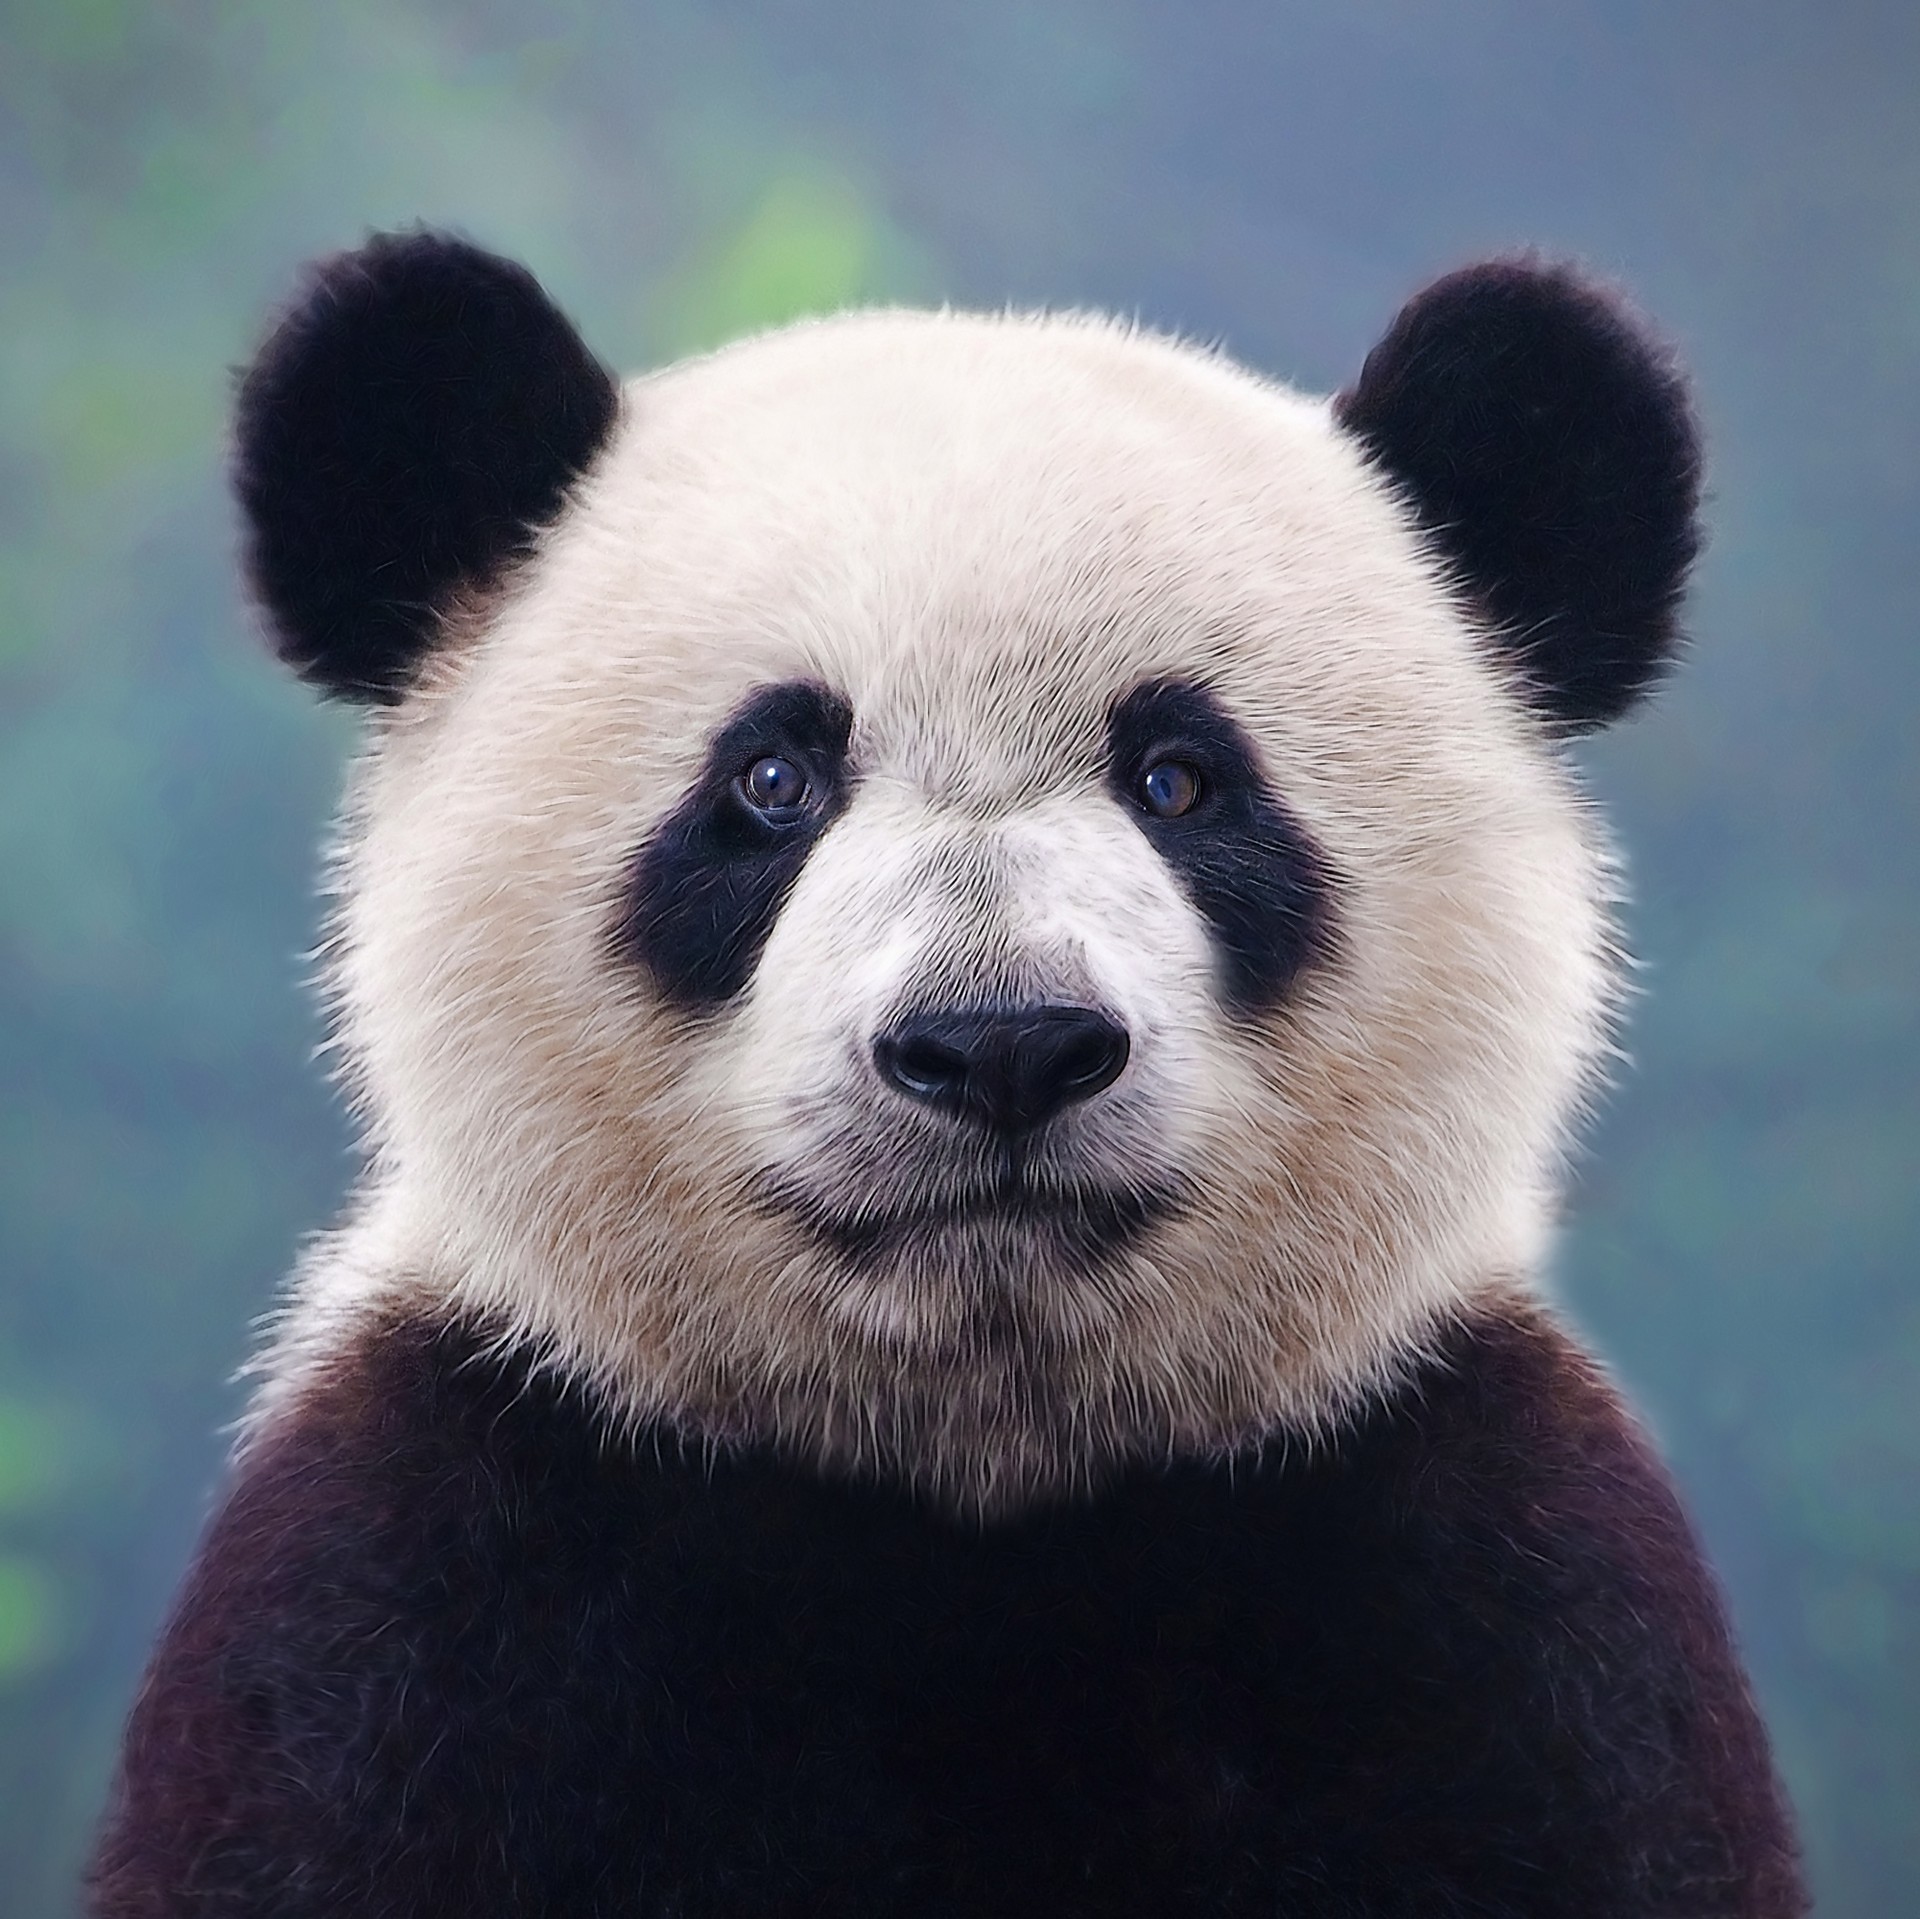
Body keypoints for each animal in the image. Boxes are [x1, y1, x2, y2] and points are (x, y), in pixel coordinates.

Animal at [86, 232, 1797, 1913]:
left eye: (1182, 779)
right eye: (773, 778)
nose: (1003, 1044)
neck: (968, 1473)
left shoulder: (1476, 1569)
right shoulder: (437, 1561)